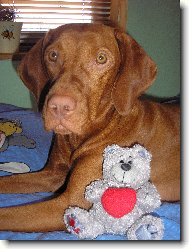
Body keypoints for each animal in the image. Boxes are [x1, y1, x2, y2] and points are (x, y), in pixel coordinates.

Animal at [0, 23, 179, 231]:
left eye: (101, 58)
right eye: (53, 55)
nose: (59, 106)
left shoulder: (69, 202)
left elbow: (7, 215)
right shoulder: (53, 174)